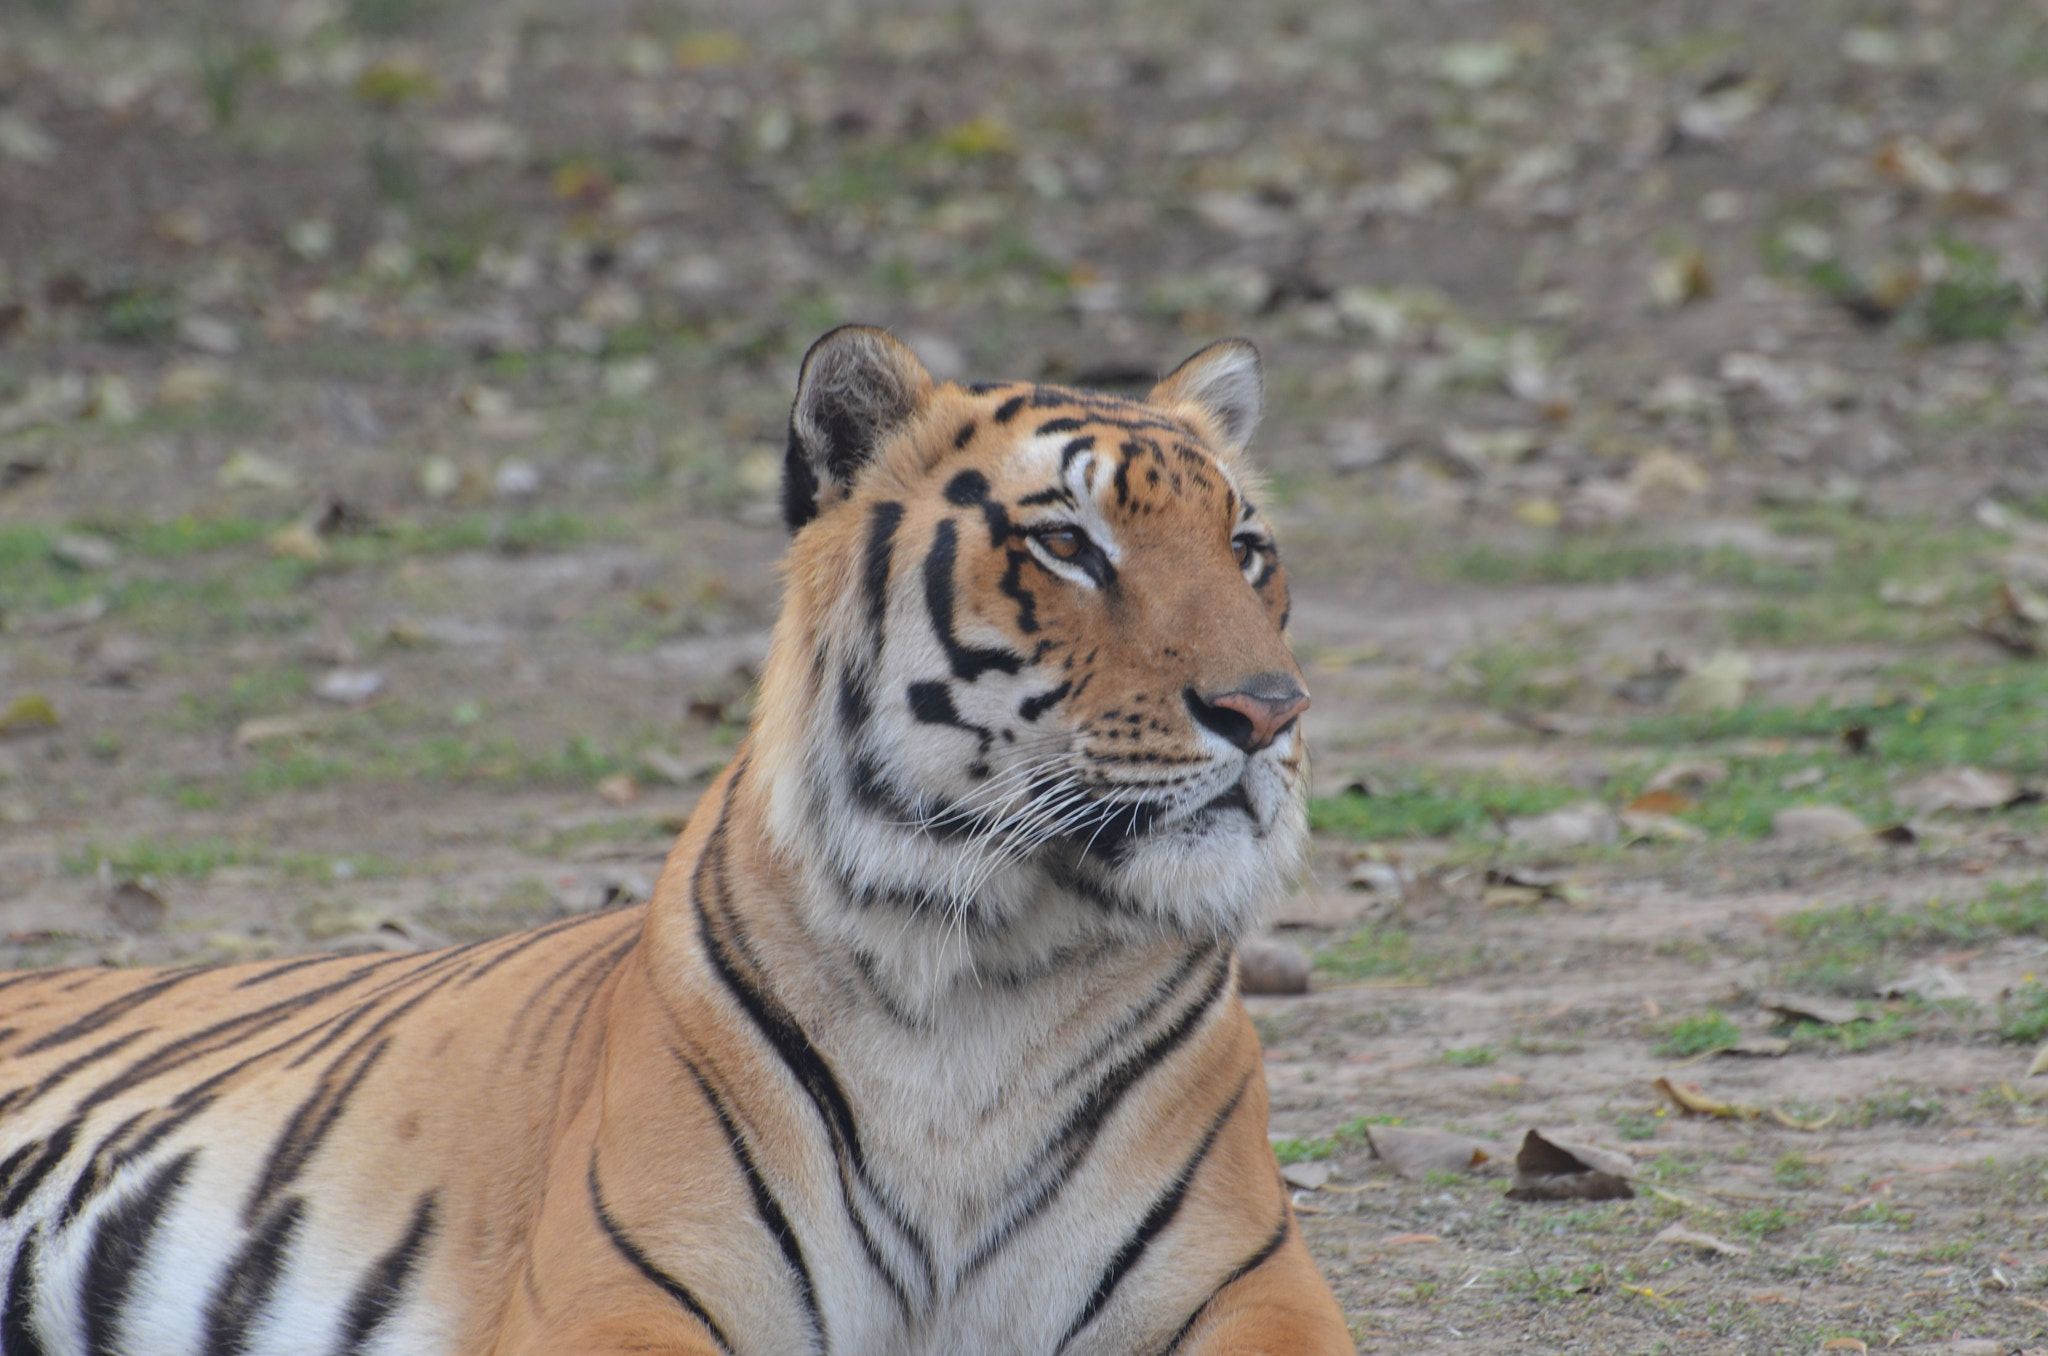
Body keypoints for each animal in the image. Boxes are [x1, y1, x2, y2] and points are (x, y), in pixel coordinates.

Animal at [0, 326, 1355, 1356]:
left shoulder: (1248, 1287)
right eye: (1066, 543)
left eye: (1246, 550)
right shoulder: (622, 1291)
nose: (1267, 712)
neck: (984, 959)